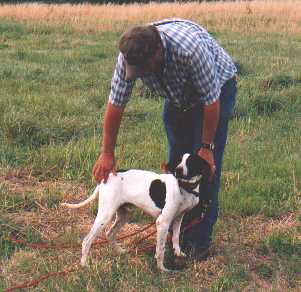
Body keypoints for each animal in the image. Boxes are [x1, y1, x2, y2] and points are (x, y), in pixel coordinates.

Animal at [61, 153, 209, 272]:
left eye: (190, 162)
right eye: (179, 161)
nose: (178, 170)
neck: (184, 187)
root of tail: (107, 176)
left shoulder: (178, 218)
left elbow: (176, 237)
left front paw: (178, 253)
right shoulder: (162, 222)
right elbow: (160, 249)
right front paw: (161, 268)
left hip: (124, 215)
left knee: (110, 234)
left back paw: (120, 251)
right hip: (105, 215)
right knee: (87, 240)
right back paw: (84, 264)